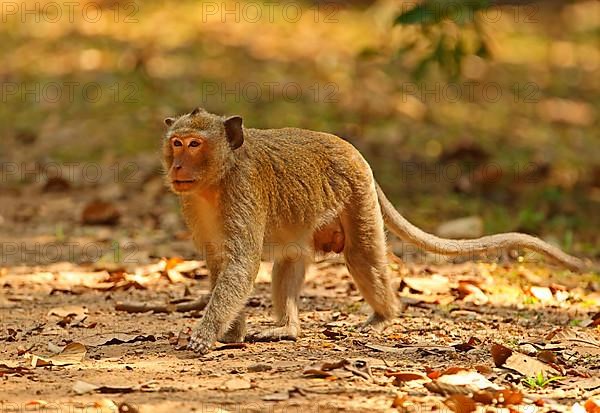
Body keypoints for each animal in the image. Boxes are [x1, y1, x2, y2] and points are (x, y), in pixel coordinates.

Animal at [163, 107, 584, 354]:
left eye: (195, 144)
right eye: (176, 143)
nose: (177, 166)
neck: (218, 179)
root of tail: (355, 152)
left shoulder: (242, 189)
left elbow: (241, 264)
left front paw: (206, 334)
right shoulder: (192, 202)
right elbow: (220, 261)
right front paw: (231, 333)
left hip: (357, 198)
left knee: (362, 256)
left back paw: (384, 316)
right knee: (291, 258)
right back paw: (288, 329)